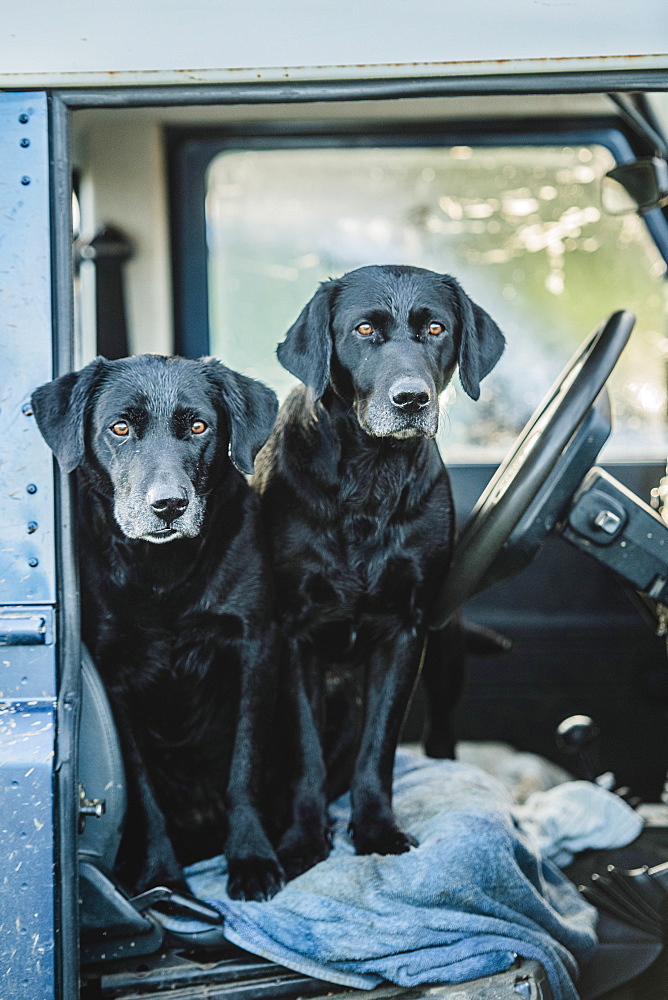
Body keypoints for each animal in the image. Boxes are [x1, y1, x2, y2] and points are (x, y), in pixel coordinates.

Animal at [253, 264, 504, 876]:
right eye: (364, 329)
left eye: (436, 328)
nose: (411, 398)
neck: (369, 475)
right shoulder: (295, 632)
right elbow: (306, 753)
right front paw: (302, 840)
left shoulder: (405, 630)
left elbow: (379, 749)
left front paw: (376, 830)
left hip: (445, 648)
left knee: (440, 730)